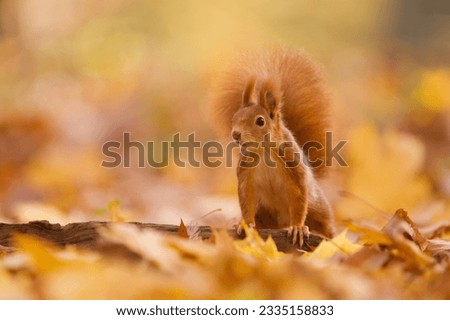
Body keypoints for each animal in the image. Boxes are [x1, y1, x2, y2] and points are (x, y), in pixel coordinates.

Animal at [214, 48, 334, 248]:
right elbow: (246, 197)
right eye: (234, 117)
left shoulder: (293, 166)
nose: (236, 134)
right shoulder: (246, 172)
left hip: (318, 208)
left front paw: (298, 227)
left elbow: (299, 197)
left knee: (324, 224)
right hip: (264, 211)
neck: (264, 151)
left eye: (260, 121)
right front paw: (246, 224)